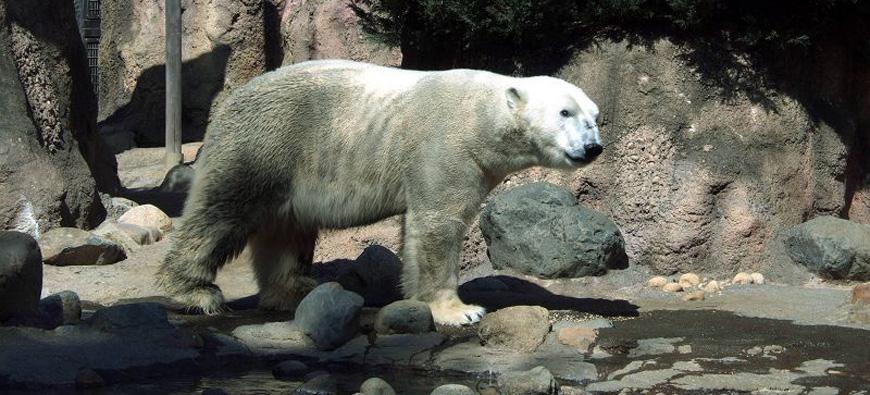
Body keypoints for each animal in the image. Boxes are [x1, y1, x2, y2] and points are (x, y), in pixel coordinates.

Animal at [157, 60, 604, 326]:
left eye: (595, 117)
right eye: (565, 112)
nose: (593, 147)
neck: (480, 115)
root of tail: (229, 103)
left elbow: (419, 228)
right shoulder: (445, 147)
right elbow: (439, 222)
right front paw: (461, 311)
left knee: (285, 229)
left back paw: (294, 289)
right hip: (266, 144)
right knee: (221, 212)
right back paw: (196, 291)